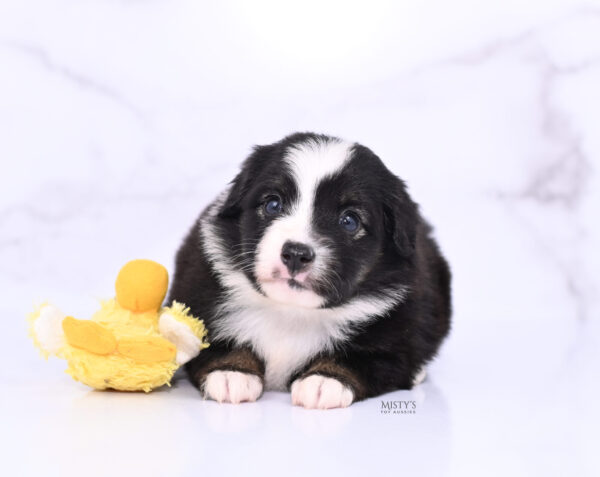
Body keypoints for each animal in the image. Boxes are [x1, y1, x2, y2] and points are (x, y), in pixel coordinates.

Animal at [169, 133, 450, 410]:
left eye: (349, 221)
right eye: (273, 205)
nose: (296, 254)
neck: (292, 313)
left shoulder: (396, 341)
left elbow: (360, 359)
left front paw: (324, 381)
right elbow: (214, 344)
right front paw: (231, 373)